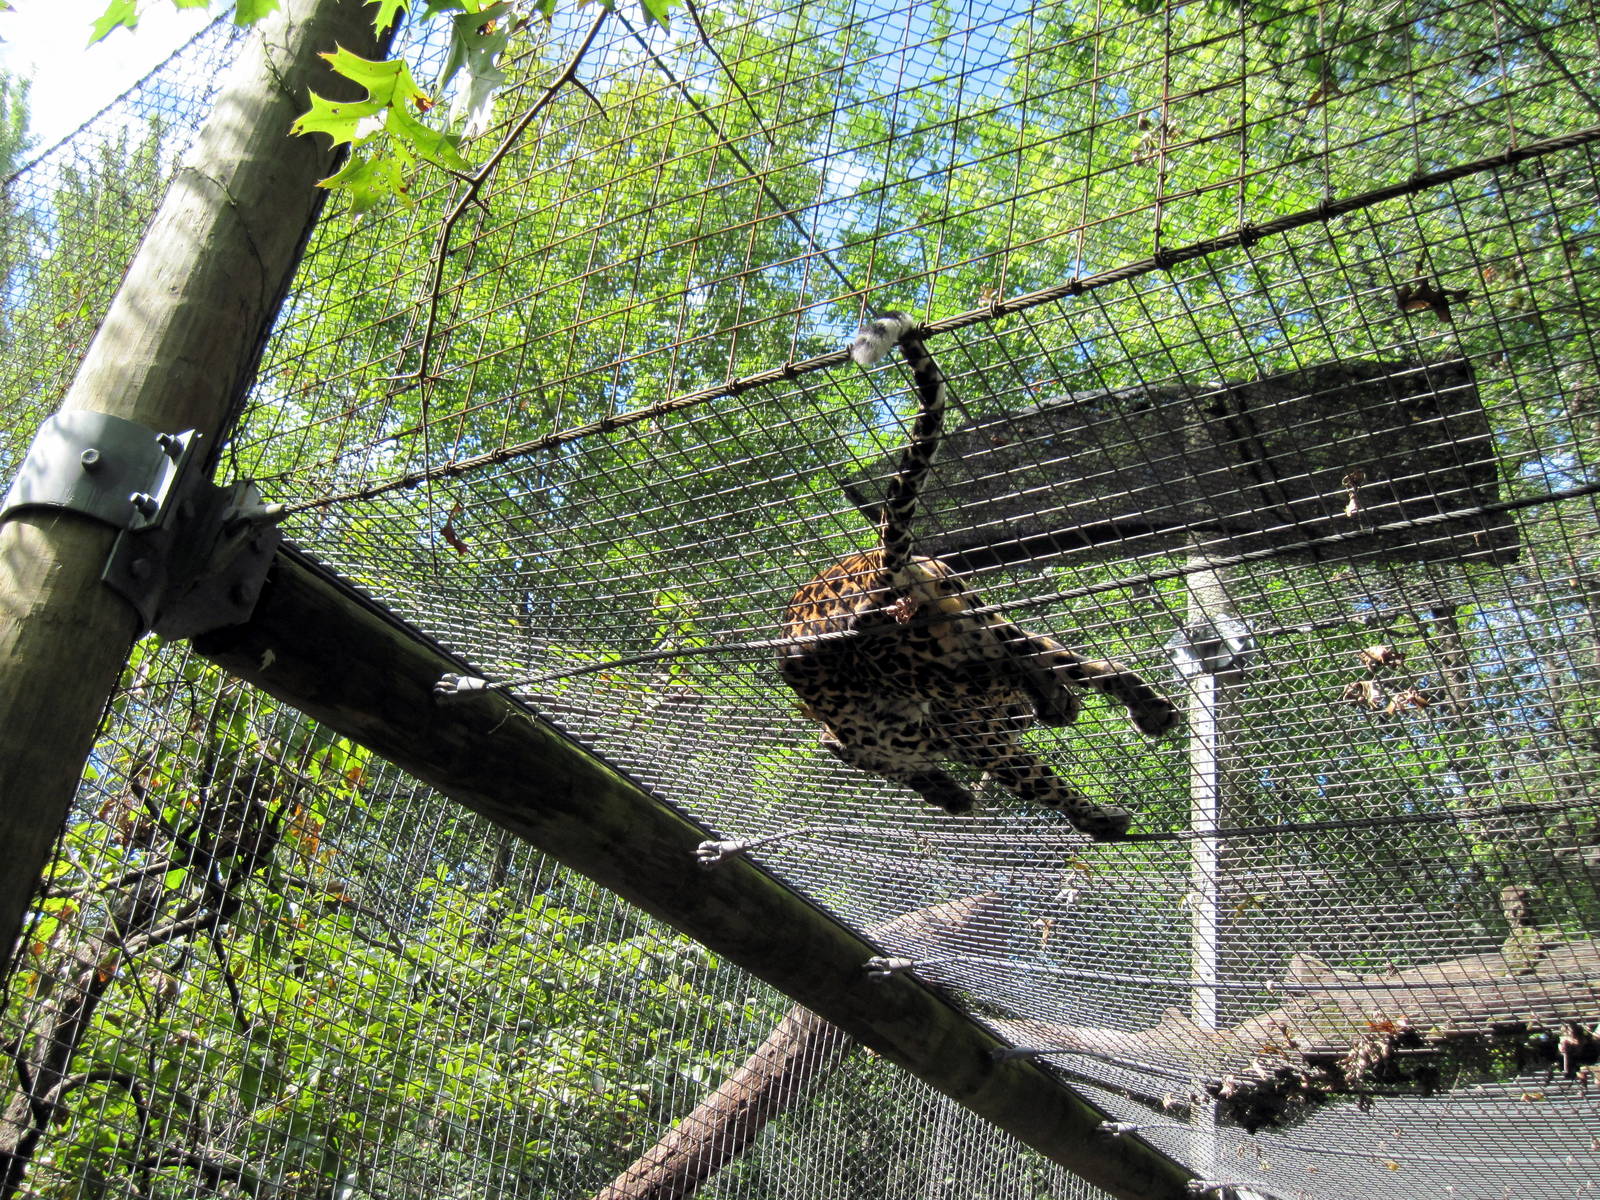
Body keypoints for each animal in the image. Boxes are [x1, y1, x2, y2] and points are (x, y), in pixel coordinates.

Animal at [777, 312, 1178, 841]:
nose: (1022, 717)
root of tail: (874, 575)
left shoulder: (970, 735)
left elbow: (1034, 780)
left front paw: (1093, 818)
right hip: (972, 615)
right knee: (1066, 659)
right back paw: (1141, 710)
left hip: (940, 666)